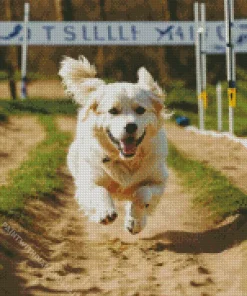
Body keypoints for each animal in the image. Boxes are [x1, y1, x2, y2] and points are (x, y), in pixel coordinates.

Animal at [58, 56, 169, 235]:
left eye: (140, 110)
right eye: (113, 111)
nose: (130, 126)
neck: (125, 160)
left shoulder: (159, 182)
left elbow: (142, 193)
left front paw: (135, 221)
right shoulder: (88, 181)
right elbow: (99, 190)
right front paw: (105, 213)